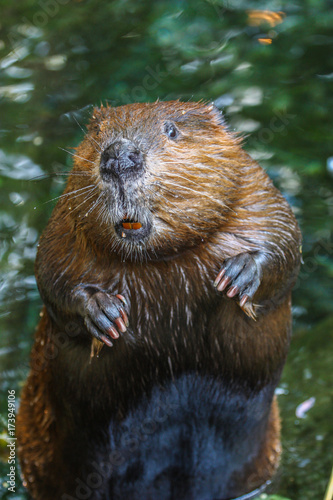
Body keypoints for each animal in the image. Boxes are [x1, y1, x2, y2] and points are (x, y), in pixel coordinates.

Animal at [16, 101, 300, 500]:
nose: (119, 156)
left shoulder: (254, 188)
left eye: (172, 130)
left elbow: (284, 236)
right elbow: (50, 274)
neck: (162, 259)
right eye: (98, 131)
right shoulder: (64, 223)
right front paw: (106, 313)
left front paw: (239, 274)